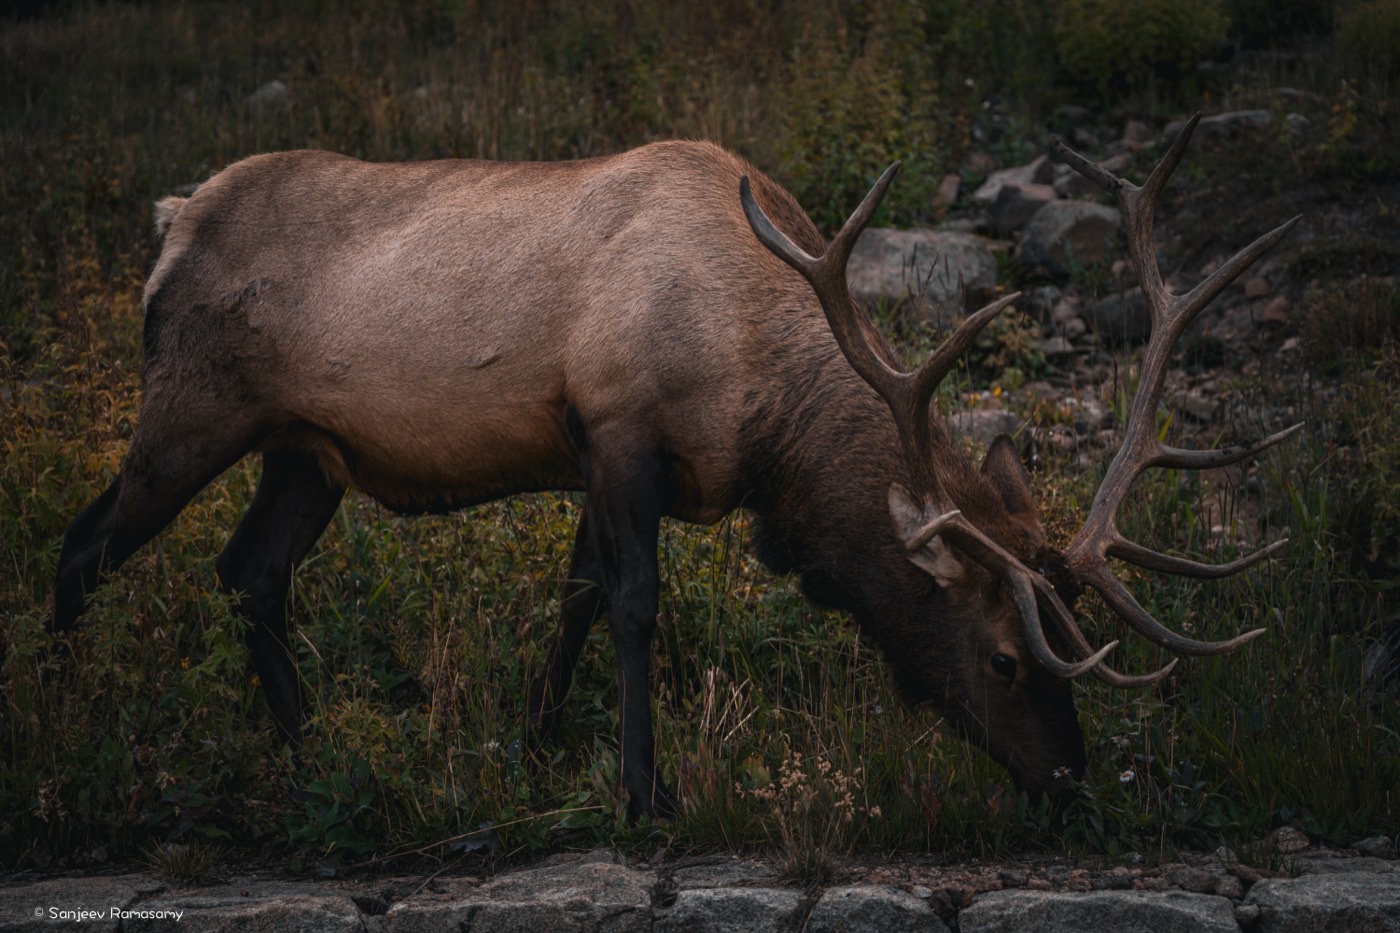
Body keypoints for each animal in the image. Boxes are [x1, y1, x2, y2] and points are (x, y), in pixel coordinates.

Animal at [50, 115, 1298, 820]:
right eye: (1003, 657)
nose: (1068, 780)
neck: (757, 396)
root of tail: (169, 220)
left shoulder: (589, 449)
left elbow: (571, 596)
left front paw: (536, 746)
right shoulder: (616, 428)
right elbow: (633, 605)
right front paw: (643, 793)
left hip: (306, 452)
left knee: (249, 574)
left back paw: (313, 750)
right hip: (190, 411)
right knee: (84, 544)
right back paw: (68, 741)